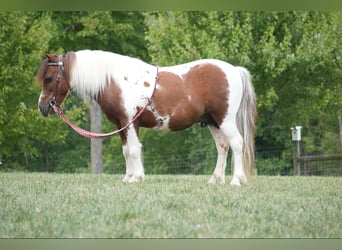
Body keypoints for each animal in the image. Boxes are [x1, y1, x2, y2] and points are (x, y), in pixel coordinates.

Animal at [37, 49, 256, 186]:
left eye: (49, 78)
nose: (42, 106)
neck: (114, 80)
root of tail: (234, 70)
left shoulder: (130, 123)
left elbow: (134, 150)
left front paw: (137, 178)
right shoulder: (121, 125)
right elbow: (126, 151)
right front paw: (128, 177)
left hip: (225, 120)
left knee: (237, 144)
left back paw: (236, 180)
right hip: (213, 122)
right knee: (223, 147)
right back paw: (215, 180)